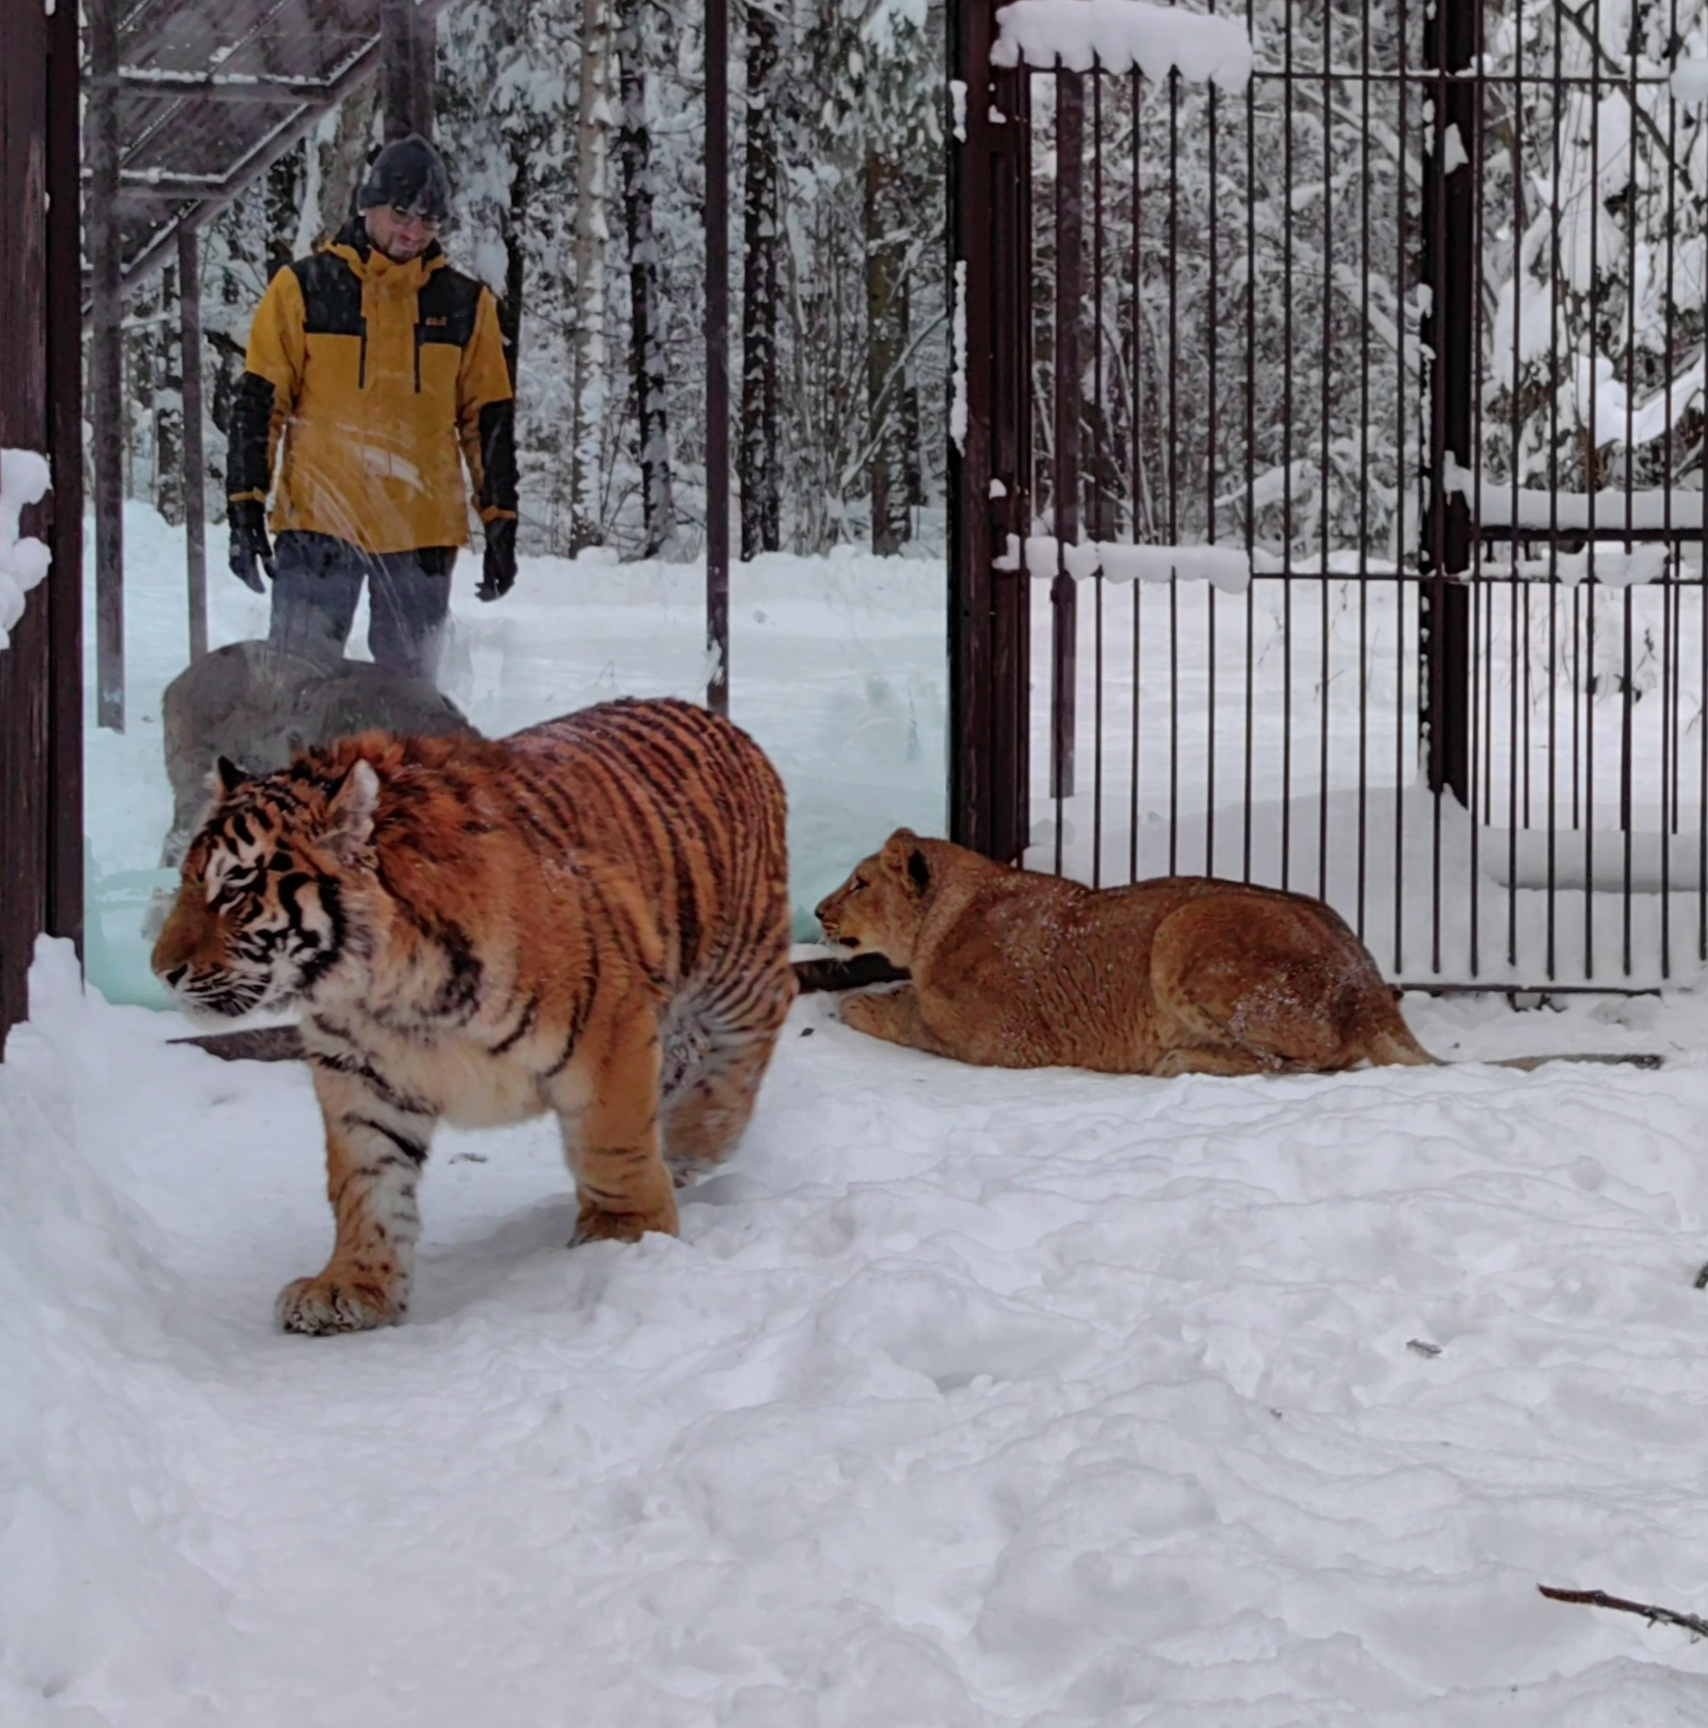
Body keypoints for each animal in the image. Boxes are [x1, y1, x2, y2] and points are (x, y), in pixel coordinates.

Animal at [153, 698, 795, 1334]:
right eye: (186, 881)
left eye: (234, 889)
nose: (161, 970)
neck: (387, 993)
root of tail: (720, 721)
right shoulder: (359, 1074)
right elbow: (364, 1181)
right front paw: (351, 1285)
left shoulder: (610, 1028)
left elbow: (612, 1144)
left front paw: (625, 1234)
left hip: (738, 964)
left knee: (758, 1027)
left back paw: (695, 1137)